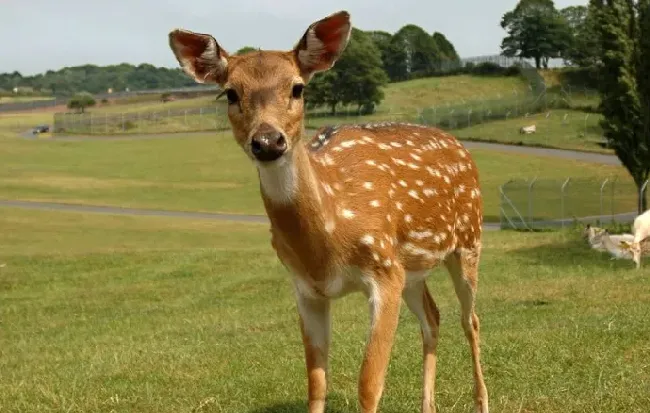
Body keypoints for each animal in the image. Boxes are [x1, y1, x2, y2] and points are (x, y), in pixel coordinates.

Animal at [170, 9, 488, 412]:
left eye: (297, 88)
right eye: (230, 93)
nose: (268, 141)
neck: (328, 240)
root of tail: (461, 146)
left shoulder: (384, 269)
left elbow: (369, 384)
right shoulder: (306, 288)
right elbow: (317, 383)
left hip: (468, 241)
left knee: (470, 319)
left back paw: (482, 400)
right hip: (414, 268)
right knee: (433, 317)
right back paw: (427, 405)